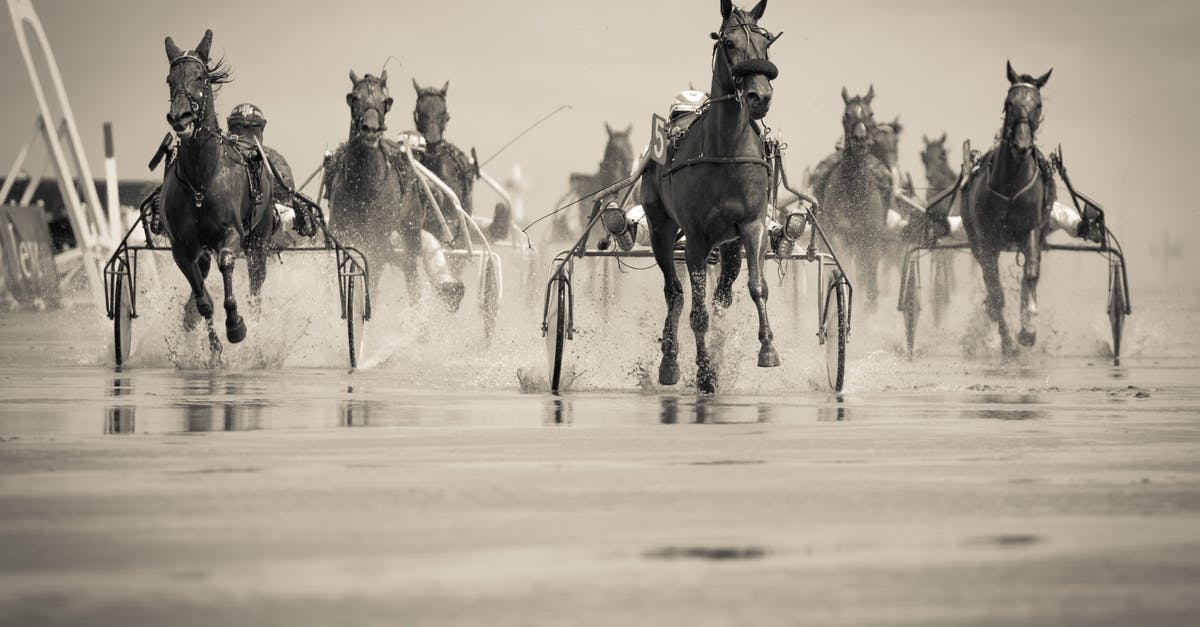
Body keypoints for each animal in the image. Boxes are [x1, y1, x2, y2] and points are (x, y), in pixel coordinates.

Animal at [157, 29, 272, 353]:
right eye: (170, 79)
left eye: (201, 78)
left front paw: (235, 325)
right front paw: (214, 349)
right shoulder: (182, 249)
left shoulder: (233, 235)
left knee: (255, 288)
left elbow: (227, 263)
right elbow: (203, 300)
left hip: (259, 242)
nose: (180, 117)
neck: (200, 181)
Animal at [324, 69, 463, 307]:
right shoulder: (343, 234)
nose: (370, 129)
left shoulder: (376, 241)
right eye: (354, 98)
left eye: (385, 101)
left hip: (410, 231)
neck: (363, 186)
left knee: (410, 270)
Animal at [643, 0, 782, 389]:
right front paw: (705, 372)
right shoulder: (695, 239)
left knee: (722, 294)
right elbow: (696, 311)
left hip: (729, 245)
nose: (759, 96)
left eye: (766, 44)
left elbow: (757, 287)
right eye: (729, 43)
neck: (726, 152)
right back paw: (670, 361)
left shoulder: (751, 226)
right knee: (675, 294)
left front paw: (767, 348)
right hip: (660, 228)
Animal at [816, 85, 892, 309]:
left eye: (870, 114)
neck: (855, 193)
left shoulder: (871, 238)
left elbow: (870, 282)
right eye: (846, 115)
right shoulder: (839, 236)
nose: (859, 139)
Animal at [960, 60, 1056, 353]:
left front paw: (1028, 330)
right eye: (1009, 102)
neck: (1012, 185)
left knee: (1028, 275)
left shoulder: (1031, 229)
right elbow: (995, 290)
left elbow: (1032, 274)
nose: (1022, 144)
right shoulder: (987, 239)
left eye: (1038, 104)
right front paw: (1007, 342)